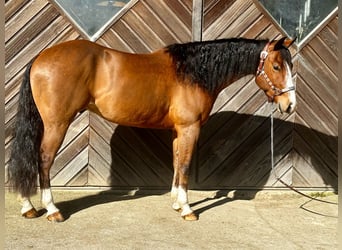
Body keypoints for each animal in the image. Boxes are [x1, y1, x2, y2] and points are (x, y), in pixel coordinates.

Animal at [9, 36, 296, 221]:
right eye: (276, 66)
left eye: (290, 65)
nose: (290, 105)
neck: (193, 72)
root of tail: (40, 57)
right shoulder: (190, 129)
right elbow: (185, 165)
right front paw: (187, 209)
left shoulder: (178, 131)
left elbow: (177, 161)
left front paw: (176, 203)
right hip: (57, 124)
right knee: (44, 160)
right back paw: (52, 210)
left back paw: (28, 207)